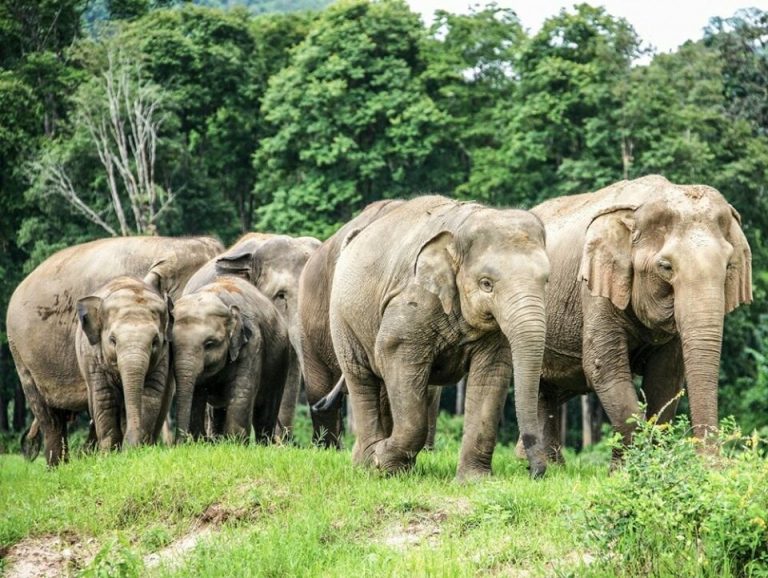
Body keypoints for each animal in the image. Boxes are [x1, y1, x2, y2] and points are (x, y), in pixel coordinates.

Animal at [76, 276, 173, 451]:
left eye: (155, 341)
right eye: (112, 340)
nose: (130, 446)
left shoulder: (162, 356)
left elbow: (149, 396)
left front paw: (138, 448)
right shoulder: (93, 357)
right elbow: (105, 398)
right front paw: (109, 452)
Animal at [172, 276, 290, 443]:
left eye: (209, 344)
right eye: (170, 344)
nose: (178, 444)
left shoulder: (253, 344)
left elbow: (241, 394)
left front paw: (235, 442)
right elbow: (196, 393)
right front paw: (200, 442)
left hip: (280, 361)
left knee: (266, 412)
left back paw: (263, 443)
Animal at [329, 195, 550, 479]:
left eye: (546, 281)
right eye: (486, 284)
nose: (534, 472)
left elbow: (491, 373)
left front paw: (474, 481)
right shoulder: (413, 300)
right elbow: (392, 350)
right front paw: (382, 461)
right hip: (342, 317)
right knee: (361, 378)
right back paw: (369, 462)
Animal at [527, 175, 751, 463]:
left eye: (728, 267)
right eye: (665, 267)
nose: (713, 465)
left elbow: (665, 377)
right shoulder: (595, 289)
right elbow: (603, 366)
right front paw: (628, 468)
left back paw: (554, 467)